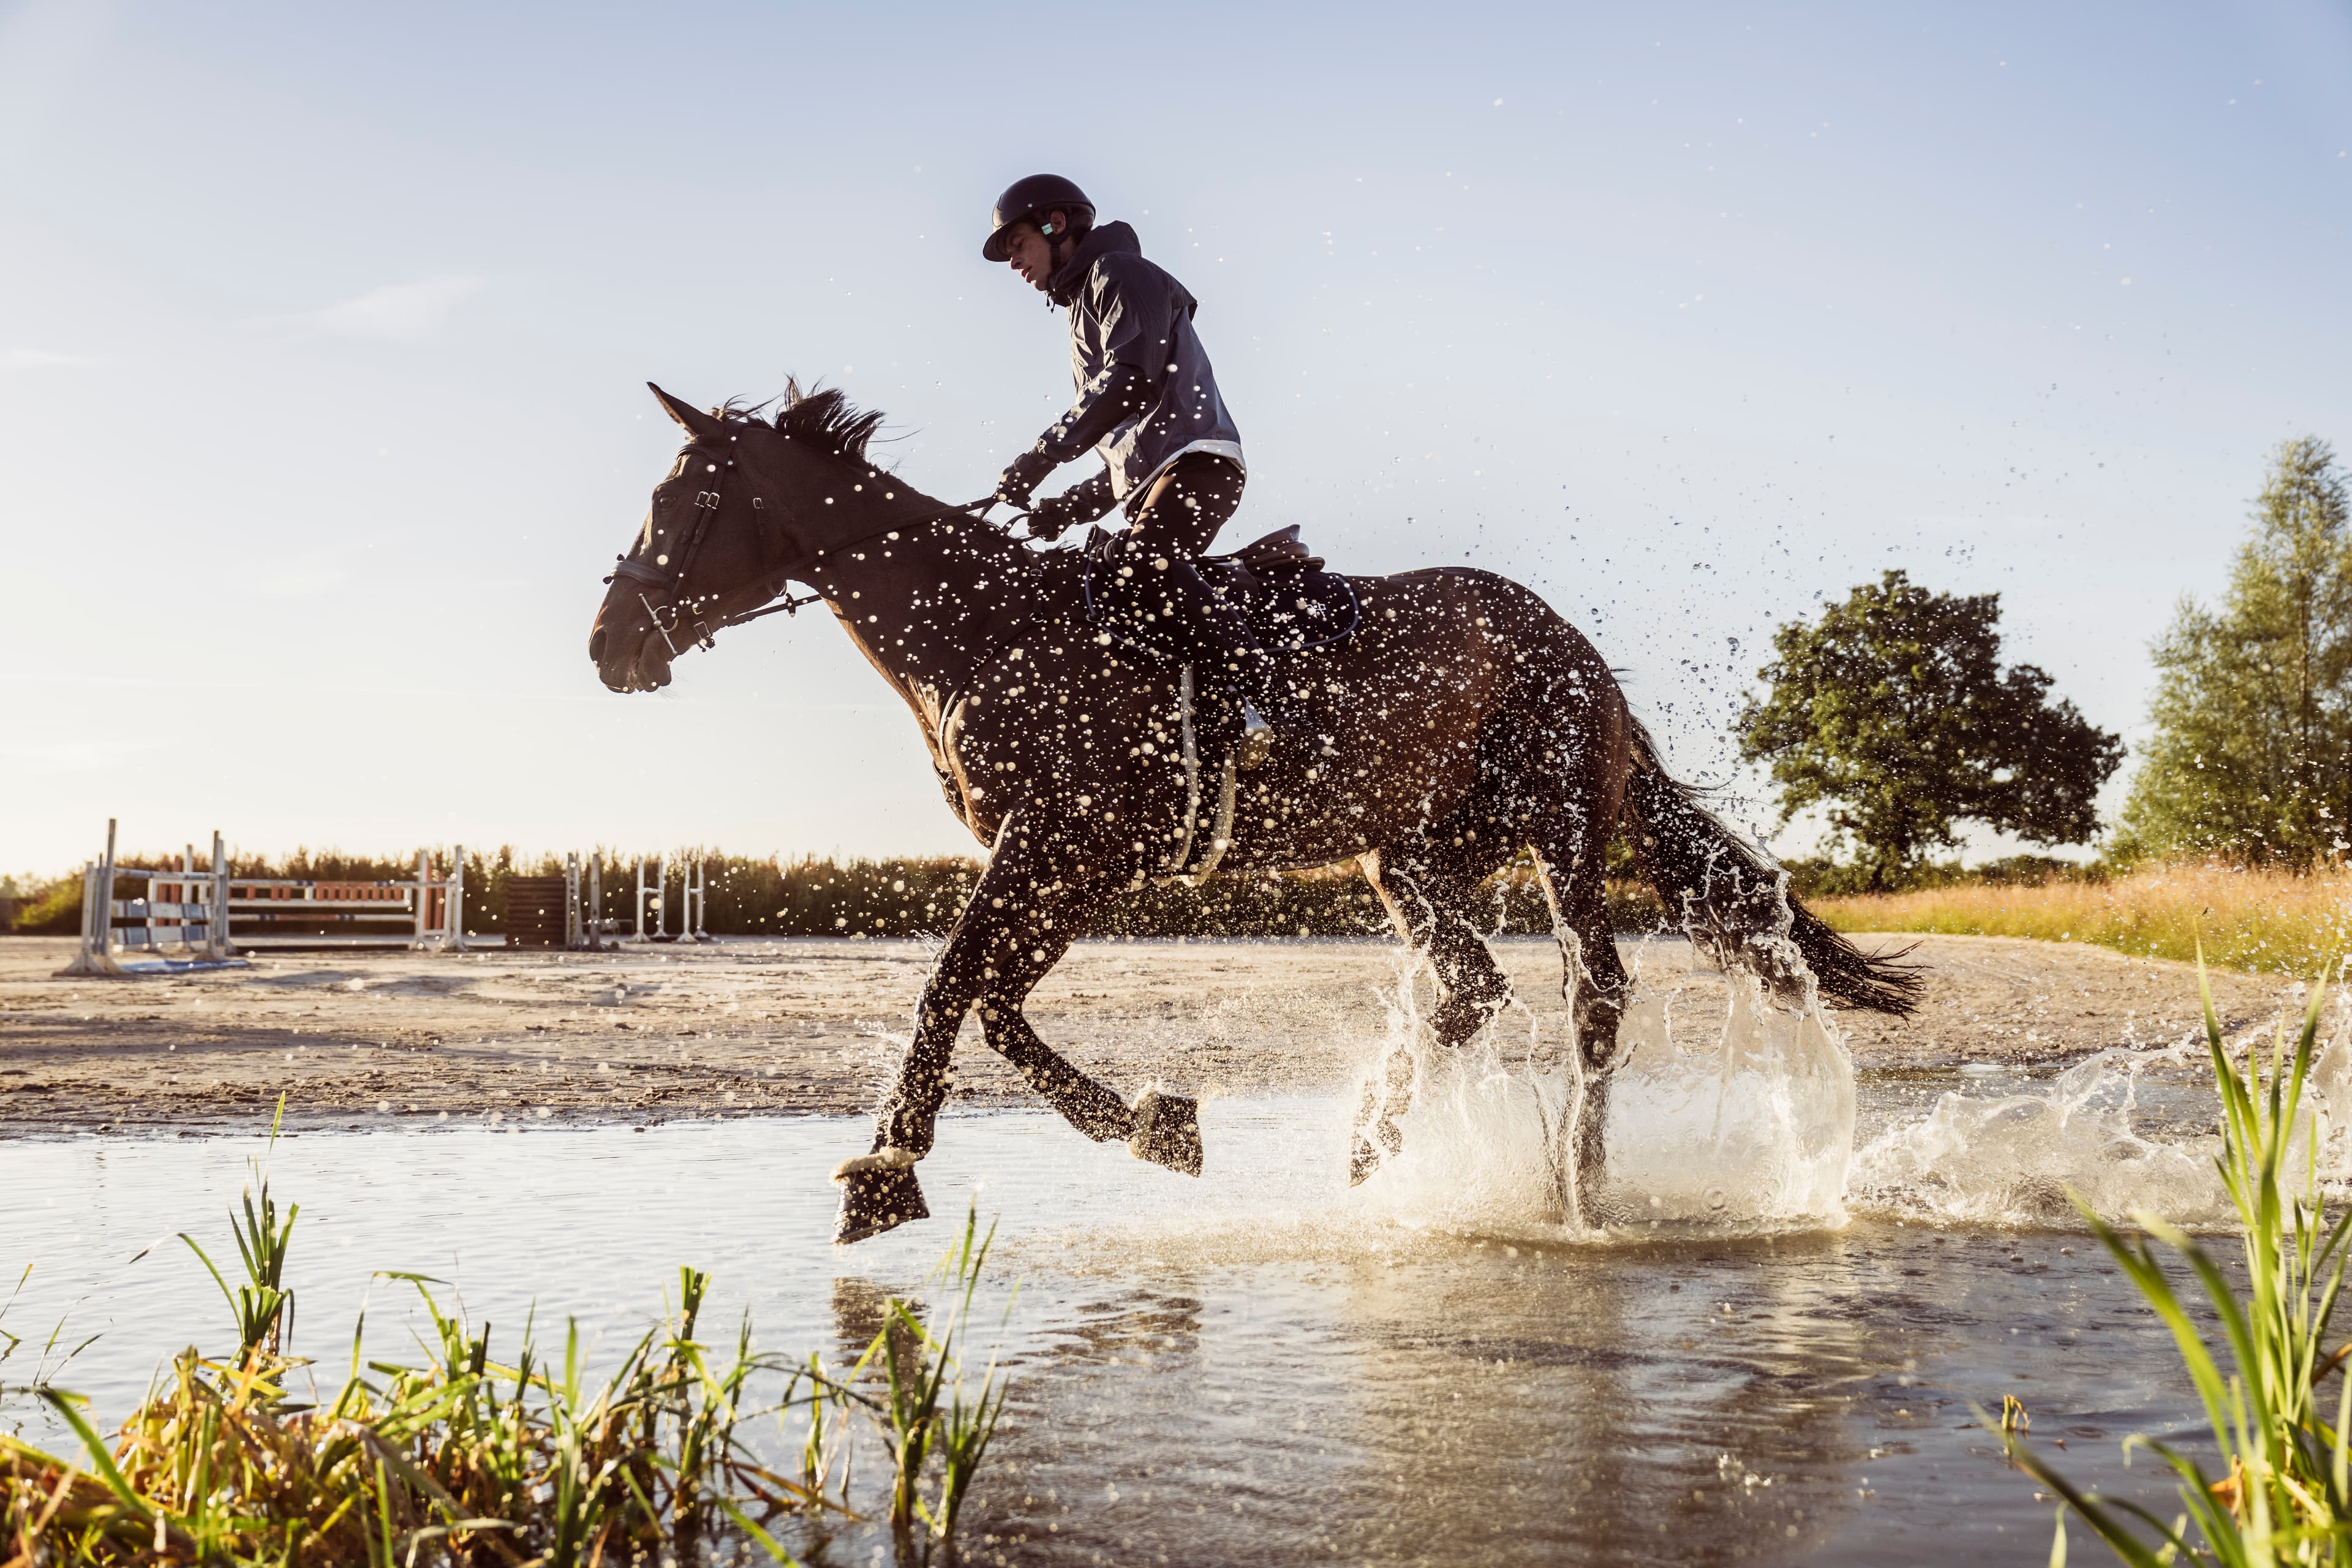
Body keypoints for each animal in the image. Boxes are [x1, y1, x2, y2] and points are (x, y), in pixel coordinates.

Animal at [583, 380, 1910, 1241]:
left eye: (683, 499)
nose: (608, 646)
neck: (980, 632)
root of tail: (1581, 651)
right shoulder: (1075, 862)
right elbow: (997, 1007)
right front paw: (1156, 1123)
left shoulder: (1059, 846)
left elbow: (952, 986)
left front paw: (884, 1169)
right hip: (1403, 852)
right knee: (1471, 984)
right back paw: (1369, 1151)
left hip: (1560, 828)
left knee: (1594, 993)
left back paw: (1578, 1199)